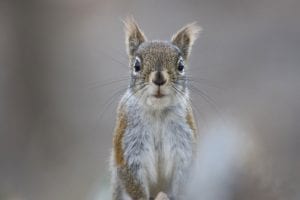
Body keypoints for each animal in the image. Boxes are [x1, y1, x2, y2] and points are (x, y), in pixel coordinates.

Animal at [110, 17, 202, 200]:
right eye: (136, 66)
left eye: (181, 66)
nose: (159, 78)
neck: (158, 112)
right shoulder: (129, 145)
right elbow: (132, 178)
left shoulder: (184, 142)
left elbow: (183, 175)